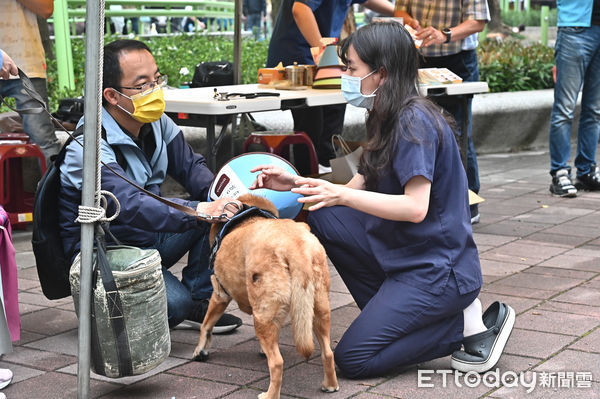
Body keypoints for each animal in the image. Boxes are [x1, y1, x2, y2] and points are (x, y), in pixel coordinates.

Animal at [195, 194, 340, 399]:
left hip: (262, 316)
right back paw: (330, 385)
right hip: (319, 309)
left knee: (277, 363)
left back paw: (269, 395)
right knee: (327, 352)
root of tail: (295, 248)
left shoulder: (219, 295)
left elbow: (206, 325)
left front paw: (200, 351)